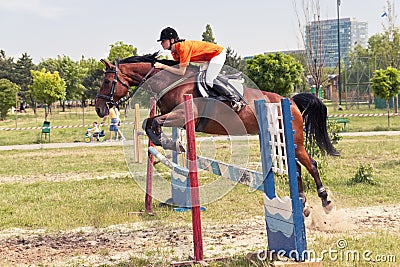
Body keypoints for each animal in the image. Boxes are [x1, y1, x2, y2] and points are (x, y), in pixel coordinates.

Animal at [97, 53, 338, 213]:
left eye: (108, 81)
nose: (100, 109)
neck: (172, 82)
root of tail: (291, 100)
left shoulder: (182, 115)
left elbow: (152, 123)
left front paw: (169, 142)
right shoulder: (174, 116)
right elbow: (150, 122)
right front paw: (168, 142)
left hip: (294, 140)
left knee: (311, 164)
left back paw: (325, 199)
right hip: (280, 138)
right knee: (296, 168)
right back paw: (302, 203)